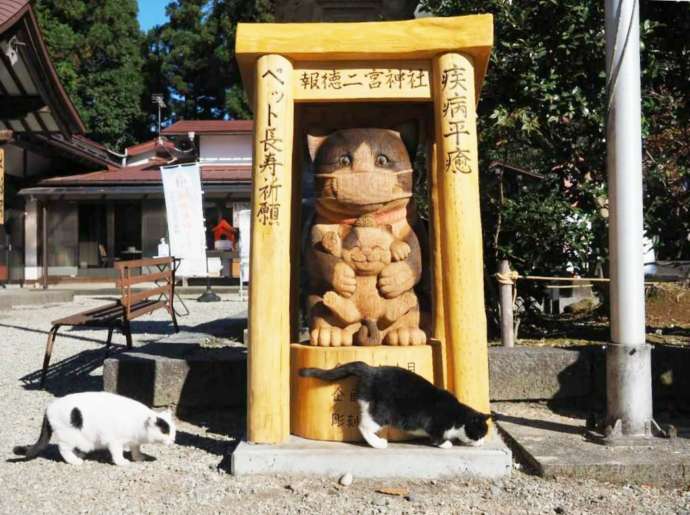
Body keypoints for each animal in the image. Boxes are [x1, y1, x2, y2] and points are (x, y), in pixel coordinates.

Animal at [13, 394, 175, 466]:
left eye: (173, 432)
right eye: (165, 432)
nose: (173, 440)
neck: (138, 423)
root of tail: (48, 408)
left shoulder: (134, 440)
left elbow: (136, 448)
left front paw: (138, 457)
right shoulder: (115, 441)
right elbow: (117, 453)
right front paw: (122, 462)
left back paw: (80, 454)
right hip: (68, 435)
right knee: (63, 449)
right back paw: (75, 460)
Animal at [300, 360, 490, 450]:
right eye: (481, 433)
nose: (482, 443)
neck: (458, 417)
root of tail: (371, 369)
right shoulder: (436, 423)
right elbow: (437, 437)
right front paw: (446, 444)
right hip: (381, 412)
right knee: (363, 426)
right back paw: (378, 443)